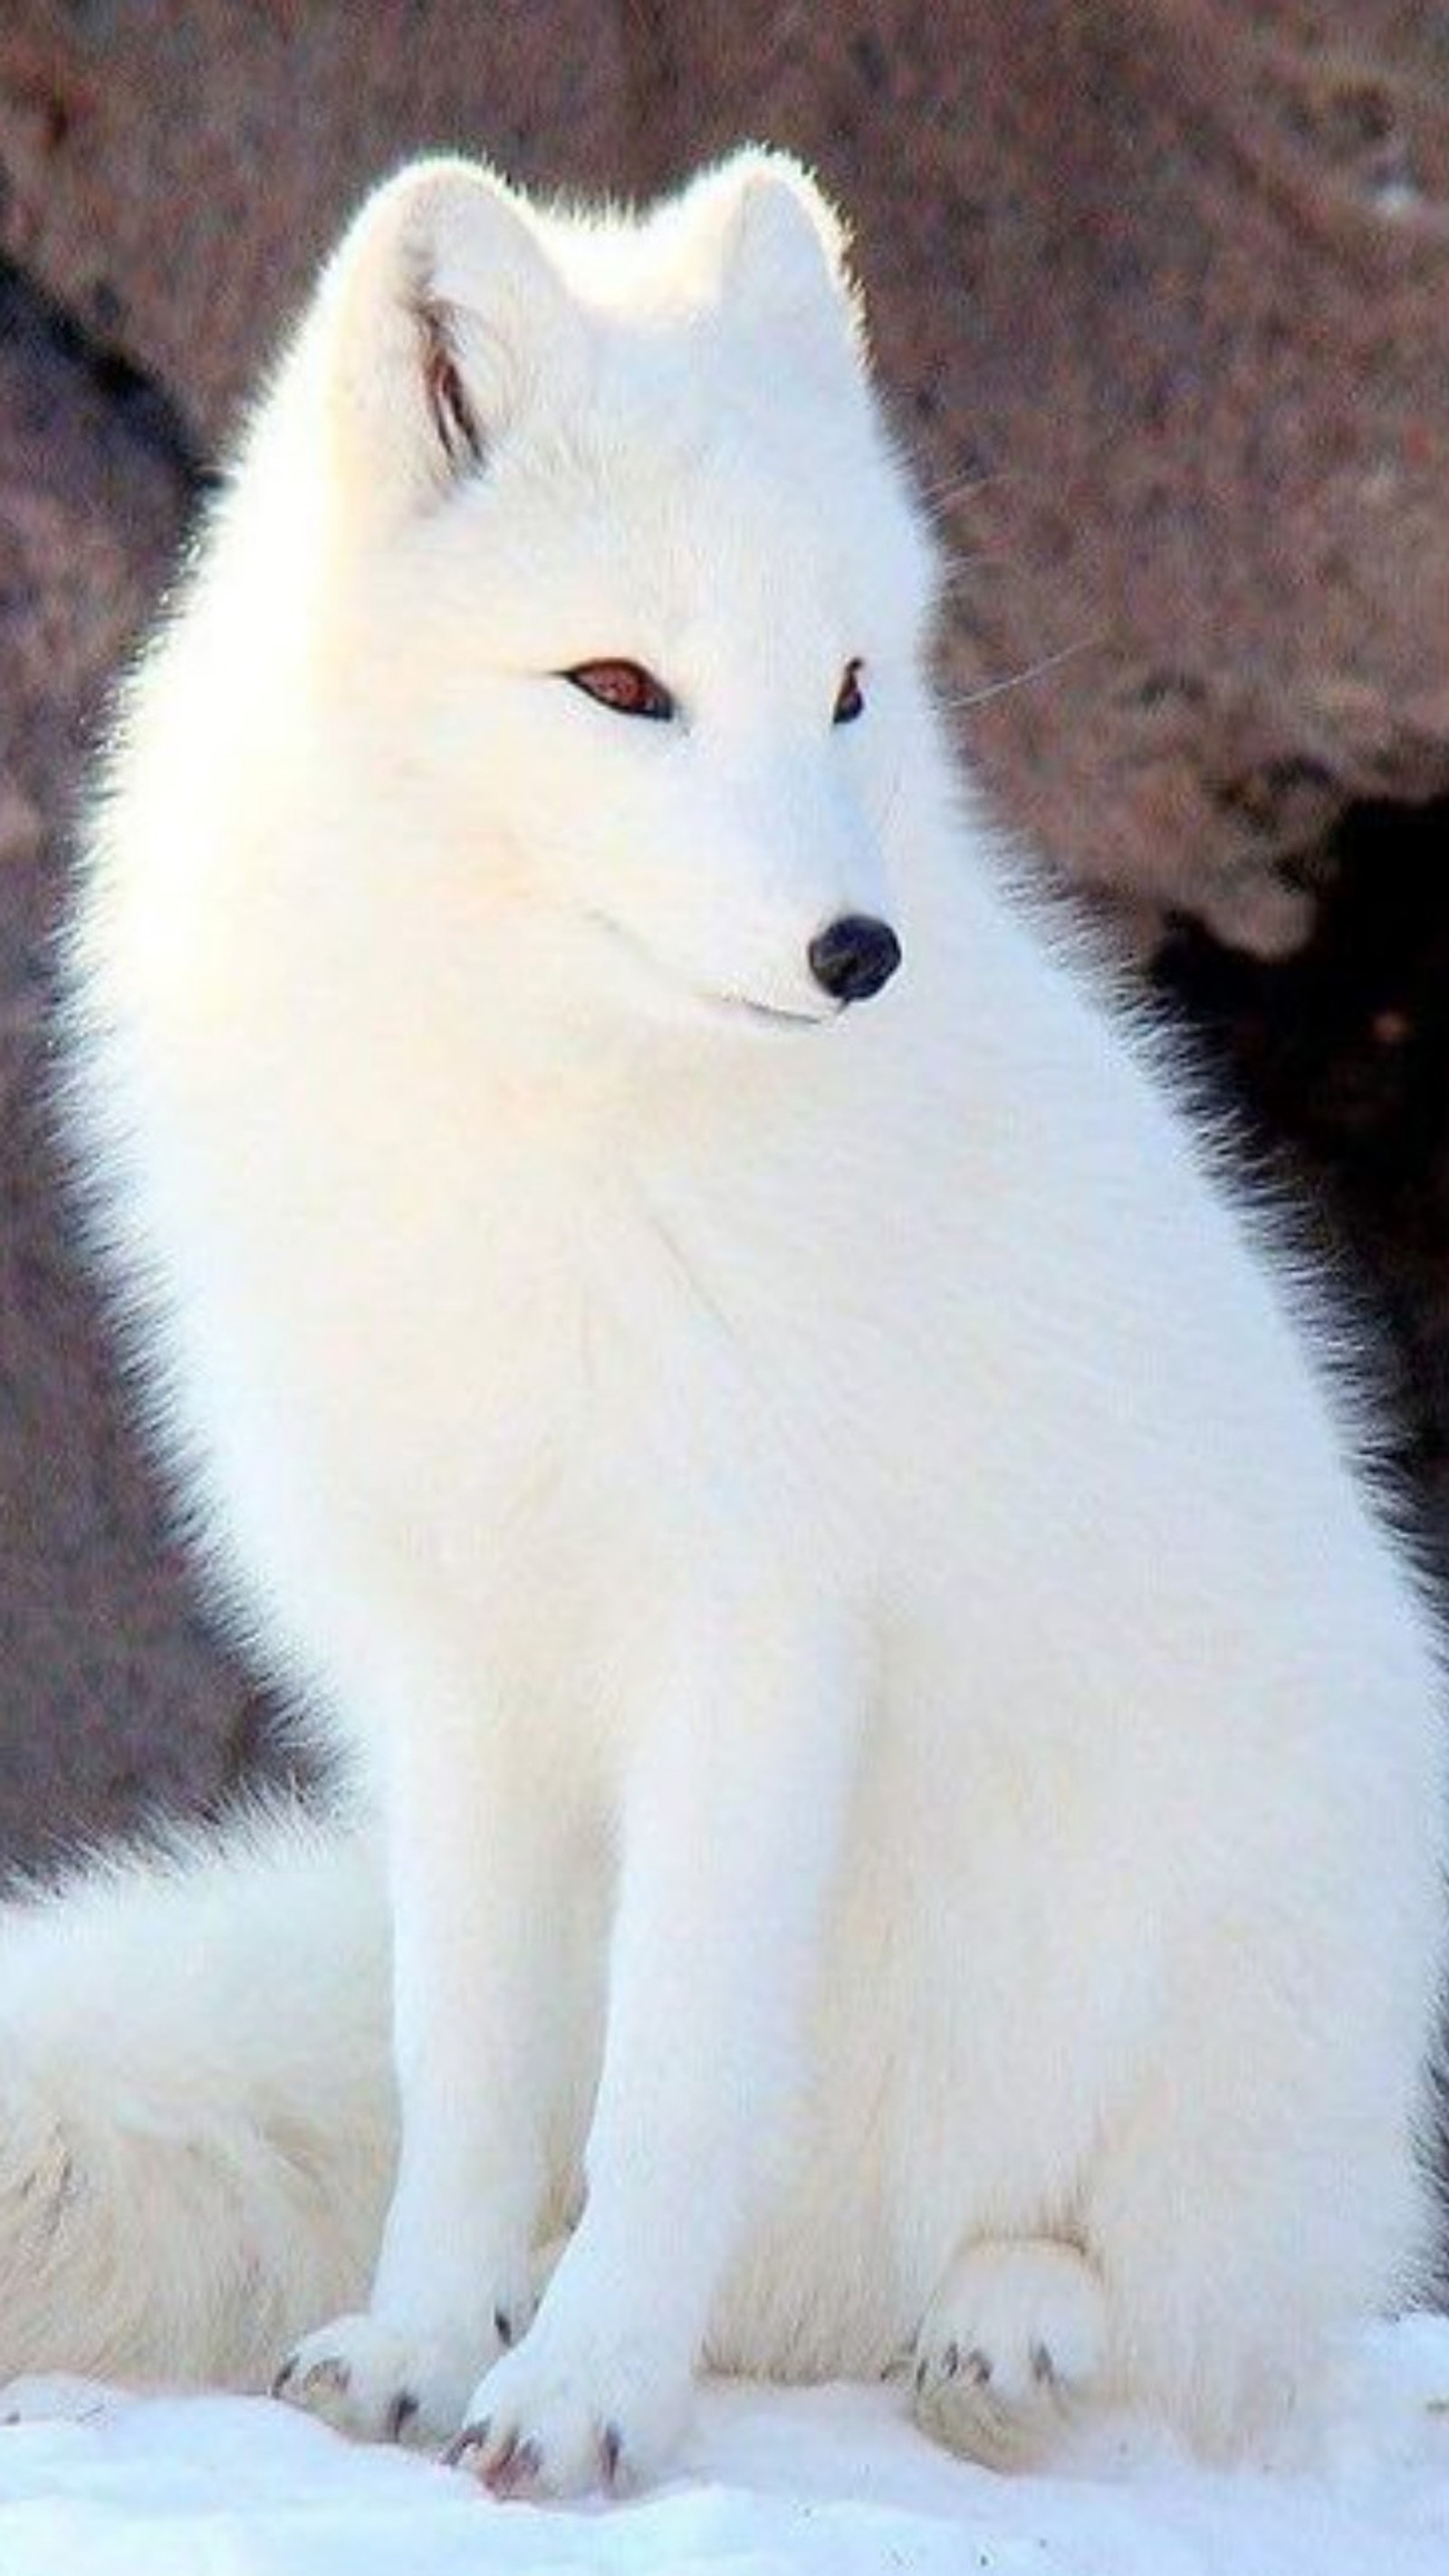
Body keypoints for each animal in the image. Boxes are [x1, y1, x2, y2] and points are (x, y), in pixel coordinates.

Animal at [8, 146, 1441, 2493]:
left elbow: (670, 2090)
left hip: (1215, 1973)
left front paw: (584, 2398)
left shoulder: (751, 1637)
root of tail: (840, 2268)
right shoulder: (463, 1676)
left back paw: (1007, 2323)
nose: (857, 950)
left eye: (848, 684)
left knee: (1190, 2295)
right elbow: (473, 2076)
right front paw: (425, 2347)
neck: (538, 1116)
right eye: (617, 684)